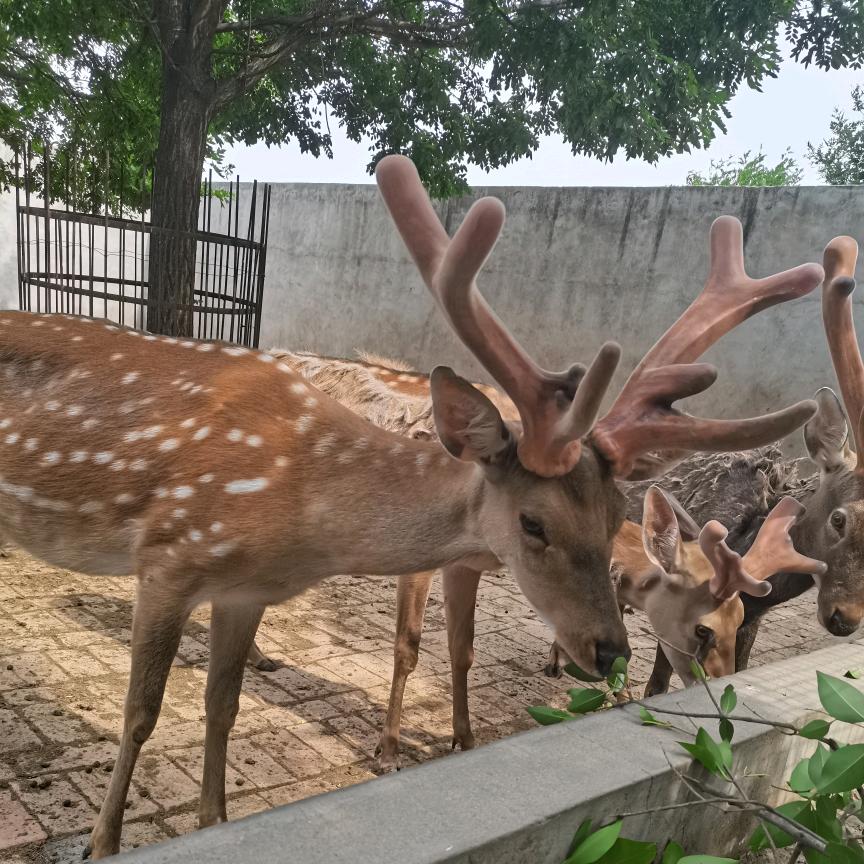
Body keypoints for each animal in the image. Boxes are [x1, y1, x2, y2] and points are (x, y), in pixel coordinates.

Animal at [0, 154, 821, 857]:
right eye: (534, 522)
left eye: (612, 513)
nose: (610, 651)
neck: (301, 515)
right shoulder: (170, 555)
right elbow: (141, 713)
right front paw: (104, 844)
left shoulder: (246, 589)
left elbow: (222, 706)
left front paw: (215, 821)